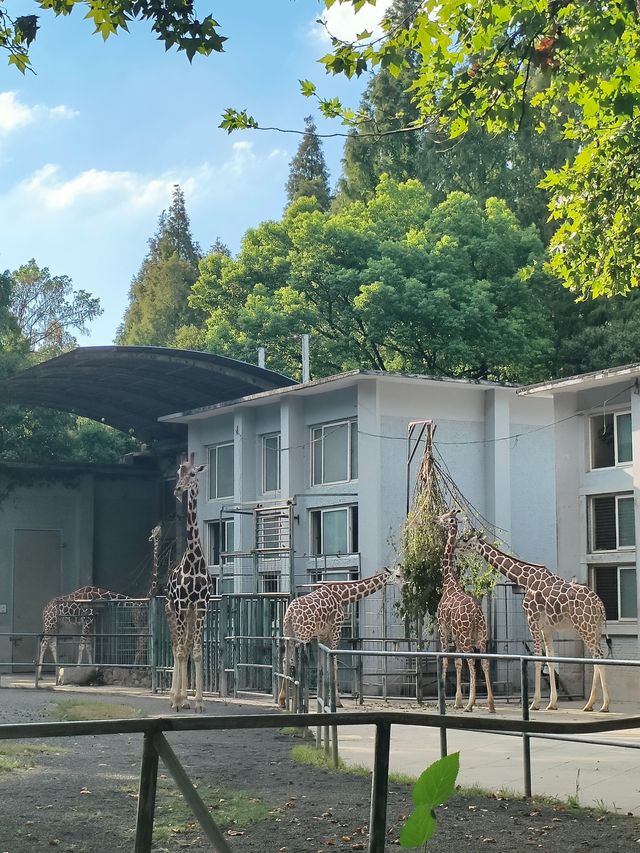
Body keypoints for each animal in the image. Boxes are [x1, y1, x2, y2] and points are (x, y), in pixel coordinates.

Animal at [278, 564, 402, 712]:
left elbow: (323, 664)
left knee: (286, 660)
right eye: (398, 575)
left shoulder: (322, 634)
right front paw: (337, 702)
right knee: (297, 662)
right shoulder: (336, 629)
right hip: (303, 635)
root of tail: (290, 612)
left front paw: (323, 697)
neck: (343, 596)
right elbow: (334, 663)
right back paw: (300, 702)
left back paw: (282, 700)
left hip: (288, 633)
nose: (405, 584)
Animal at [436, 512, 496, 712]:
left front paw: (445, 700)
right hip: (481, 635)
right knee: (484, 661)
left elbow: (446, 659)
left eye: (445, 518)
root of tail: (477, 614)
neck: (448, 583)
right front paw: (457, 701)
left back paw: (470, 705)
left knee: (472, 661)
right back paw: (490, 705)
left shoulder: (443, 628)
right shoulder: (456, 634)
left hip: (466, 635)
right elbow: (457, 661)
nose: (435, 519)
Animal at [456, 532, 608, 712]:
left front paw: (534, 703)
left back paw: (603, 705)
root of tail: (599, 604)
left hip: (585, 626)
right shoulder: (546, 628)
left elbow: (536, 659)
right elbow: (550, 658)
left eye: (466, 541)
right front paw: (551, 703)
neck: (525, 580)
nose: (456, 548)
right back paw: (590, 704)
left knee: (598, 656)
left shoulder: (532, 620)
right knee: (597, 657)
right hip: (595, 628)